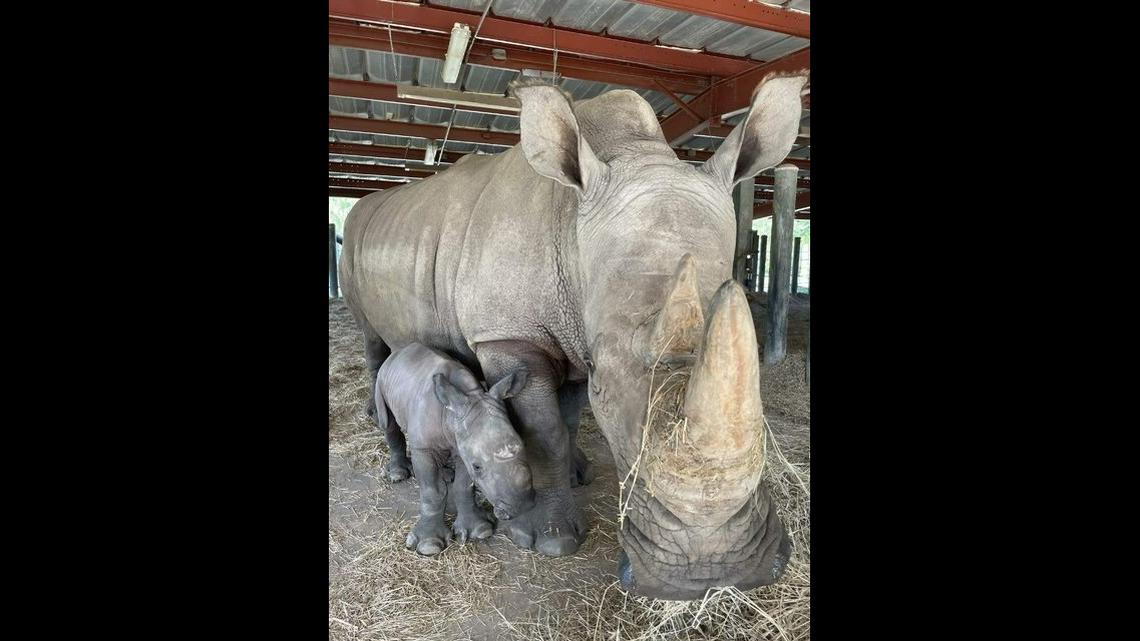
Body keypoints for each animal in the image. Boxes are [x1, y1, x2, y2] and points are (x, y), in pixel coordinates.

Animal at [339, 71, 808, 599]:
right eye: (603, 383)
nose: (713, 576)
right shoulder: (509, 336)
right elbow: (543, 433)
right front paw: (549, 540)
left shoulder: (576, 329)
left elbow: (564, 422)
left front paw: (570, 481)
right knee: (375, 346)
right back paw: (393, 460)